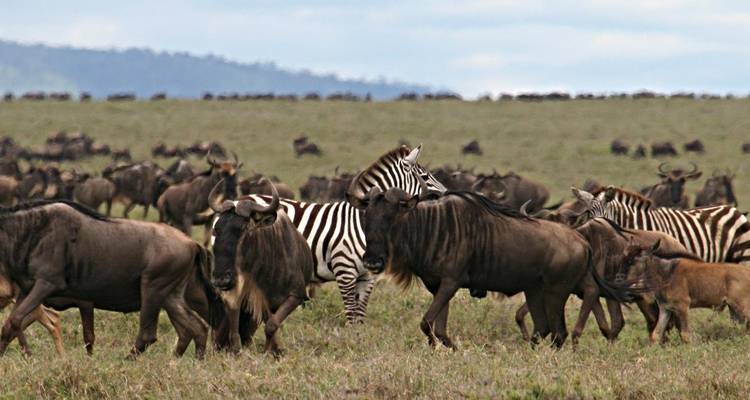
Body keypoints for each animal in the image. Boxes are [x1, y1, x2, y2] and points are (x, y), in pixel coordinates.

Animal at [217, 145, 446, 323]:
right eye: (425, 176)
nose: (445, 192)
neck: (361, 223)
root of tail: (240, 198)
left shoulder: (367, 277)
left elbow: (360, 315)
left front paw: (359, 340)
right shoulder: (345, 271)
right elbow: (351, 313)